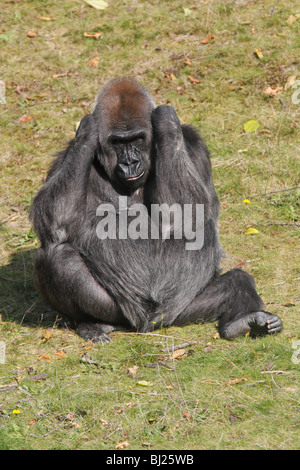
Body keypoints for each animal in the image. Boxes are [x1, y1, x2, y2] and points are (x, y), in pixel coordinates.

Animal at [29, 77, 282, 342]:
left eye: (137, 139)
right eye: (117, 142)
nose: (130, 163)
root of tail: (145, 324)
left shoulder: (194, 145)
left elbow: (191, 217)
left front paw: (166, 121)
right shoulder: (66, 155)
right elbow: (53, 219)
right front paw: (87, 129)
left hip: (179, 312)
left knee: (234, 279)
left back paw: (241, 320)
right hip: (121, 312)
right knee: (56, 256)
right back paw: (93, 323)